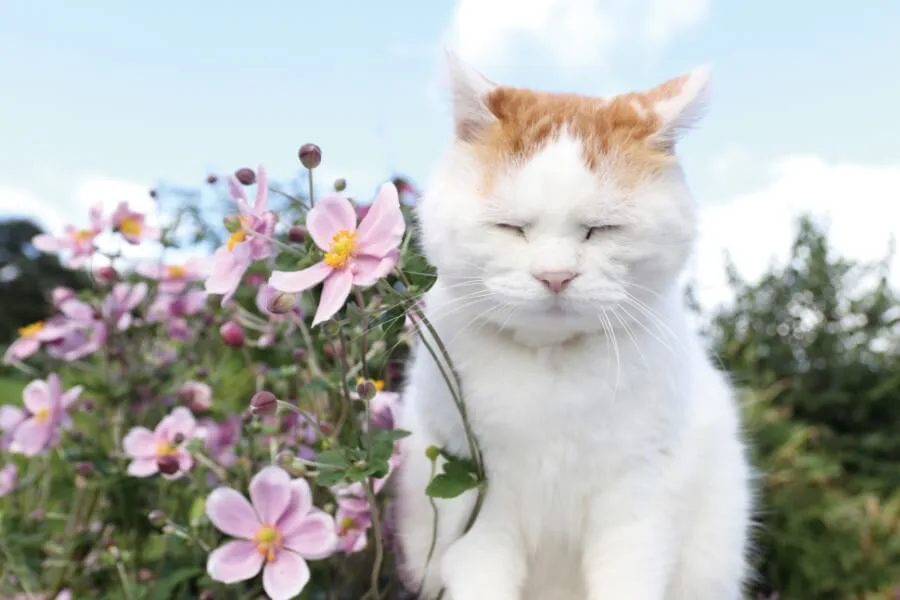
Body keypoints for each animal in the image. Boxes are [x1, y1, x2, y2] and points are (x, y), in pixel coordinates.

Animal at [394, 51, 752, 600]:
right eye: (511, 227)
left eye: (600, 230)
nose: (555, 275)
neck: (551, 367)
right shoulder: (479, 510)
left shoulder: (638, 507)